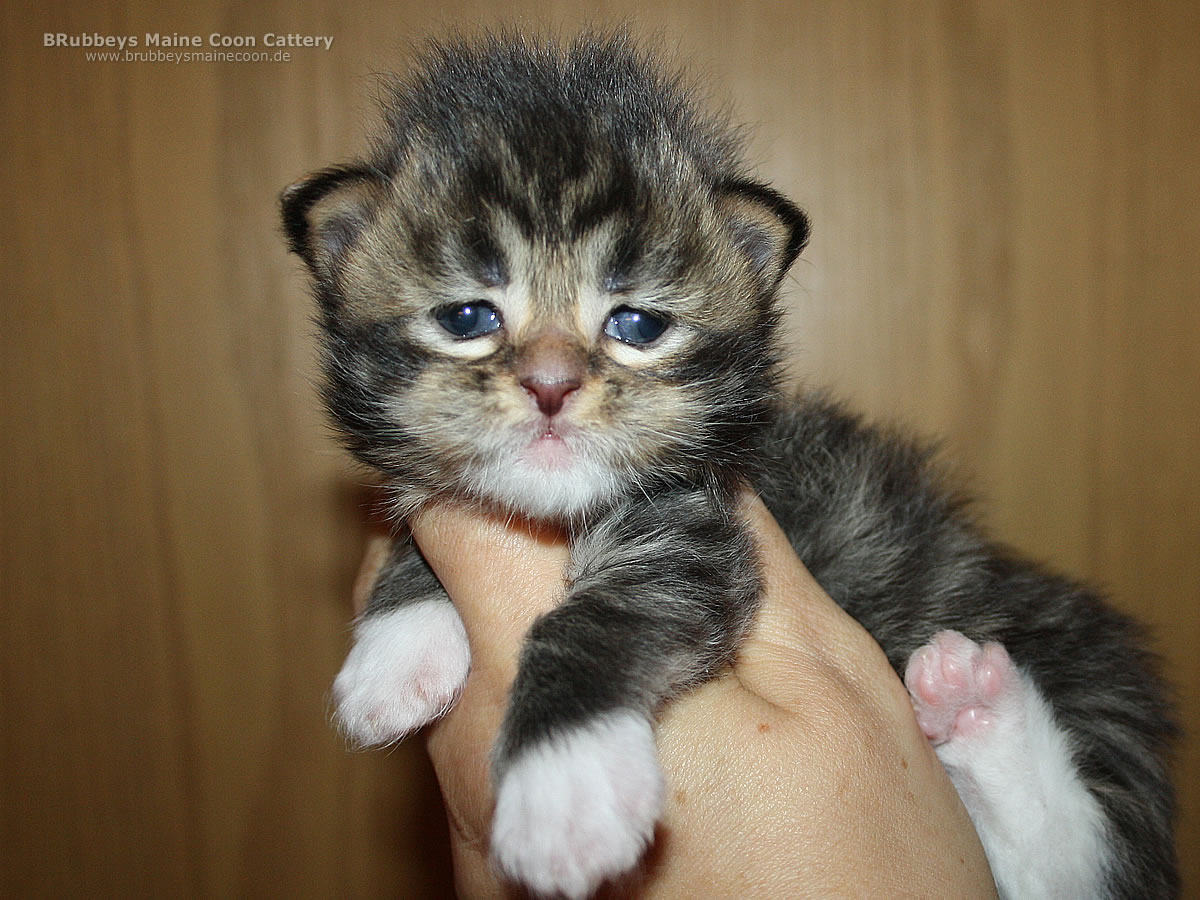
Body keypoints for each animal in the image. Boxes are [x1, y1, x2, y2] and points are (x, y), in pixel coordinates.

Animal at [278, 30, 1171, 900]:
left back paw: (986, 713)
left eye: (637, 325)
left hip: (1078, 680)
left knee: (1075, 862)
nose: (551, 385)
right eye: (467, 317)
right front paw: (396, 648)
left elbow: (596, 620)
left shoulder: (697, 530)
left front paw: (564, 784)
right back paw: (968, 706)